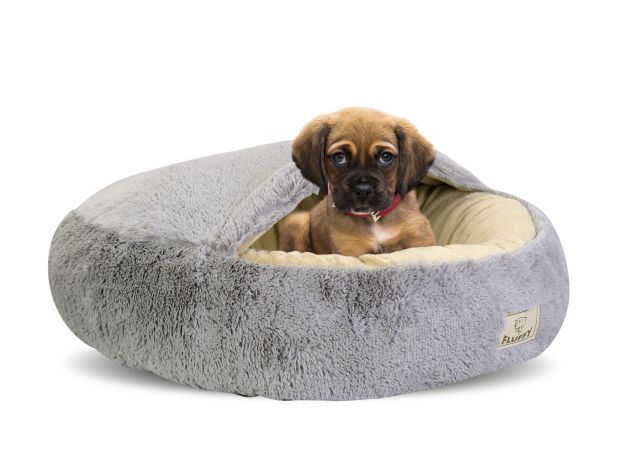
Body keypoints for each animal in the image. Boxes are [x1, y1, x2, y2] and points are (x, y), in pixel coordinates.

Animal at [278, 107, 436, 256]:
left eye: (385, 156)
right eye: (339, 157)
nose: (363, 190)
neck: (374, 220)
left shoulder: (421, 240)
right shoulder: (350, 249)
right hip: (298, 220)